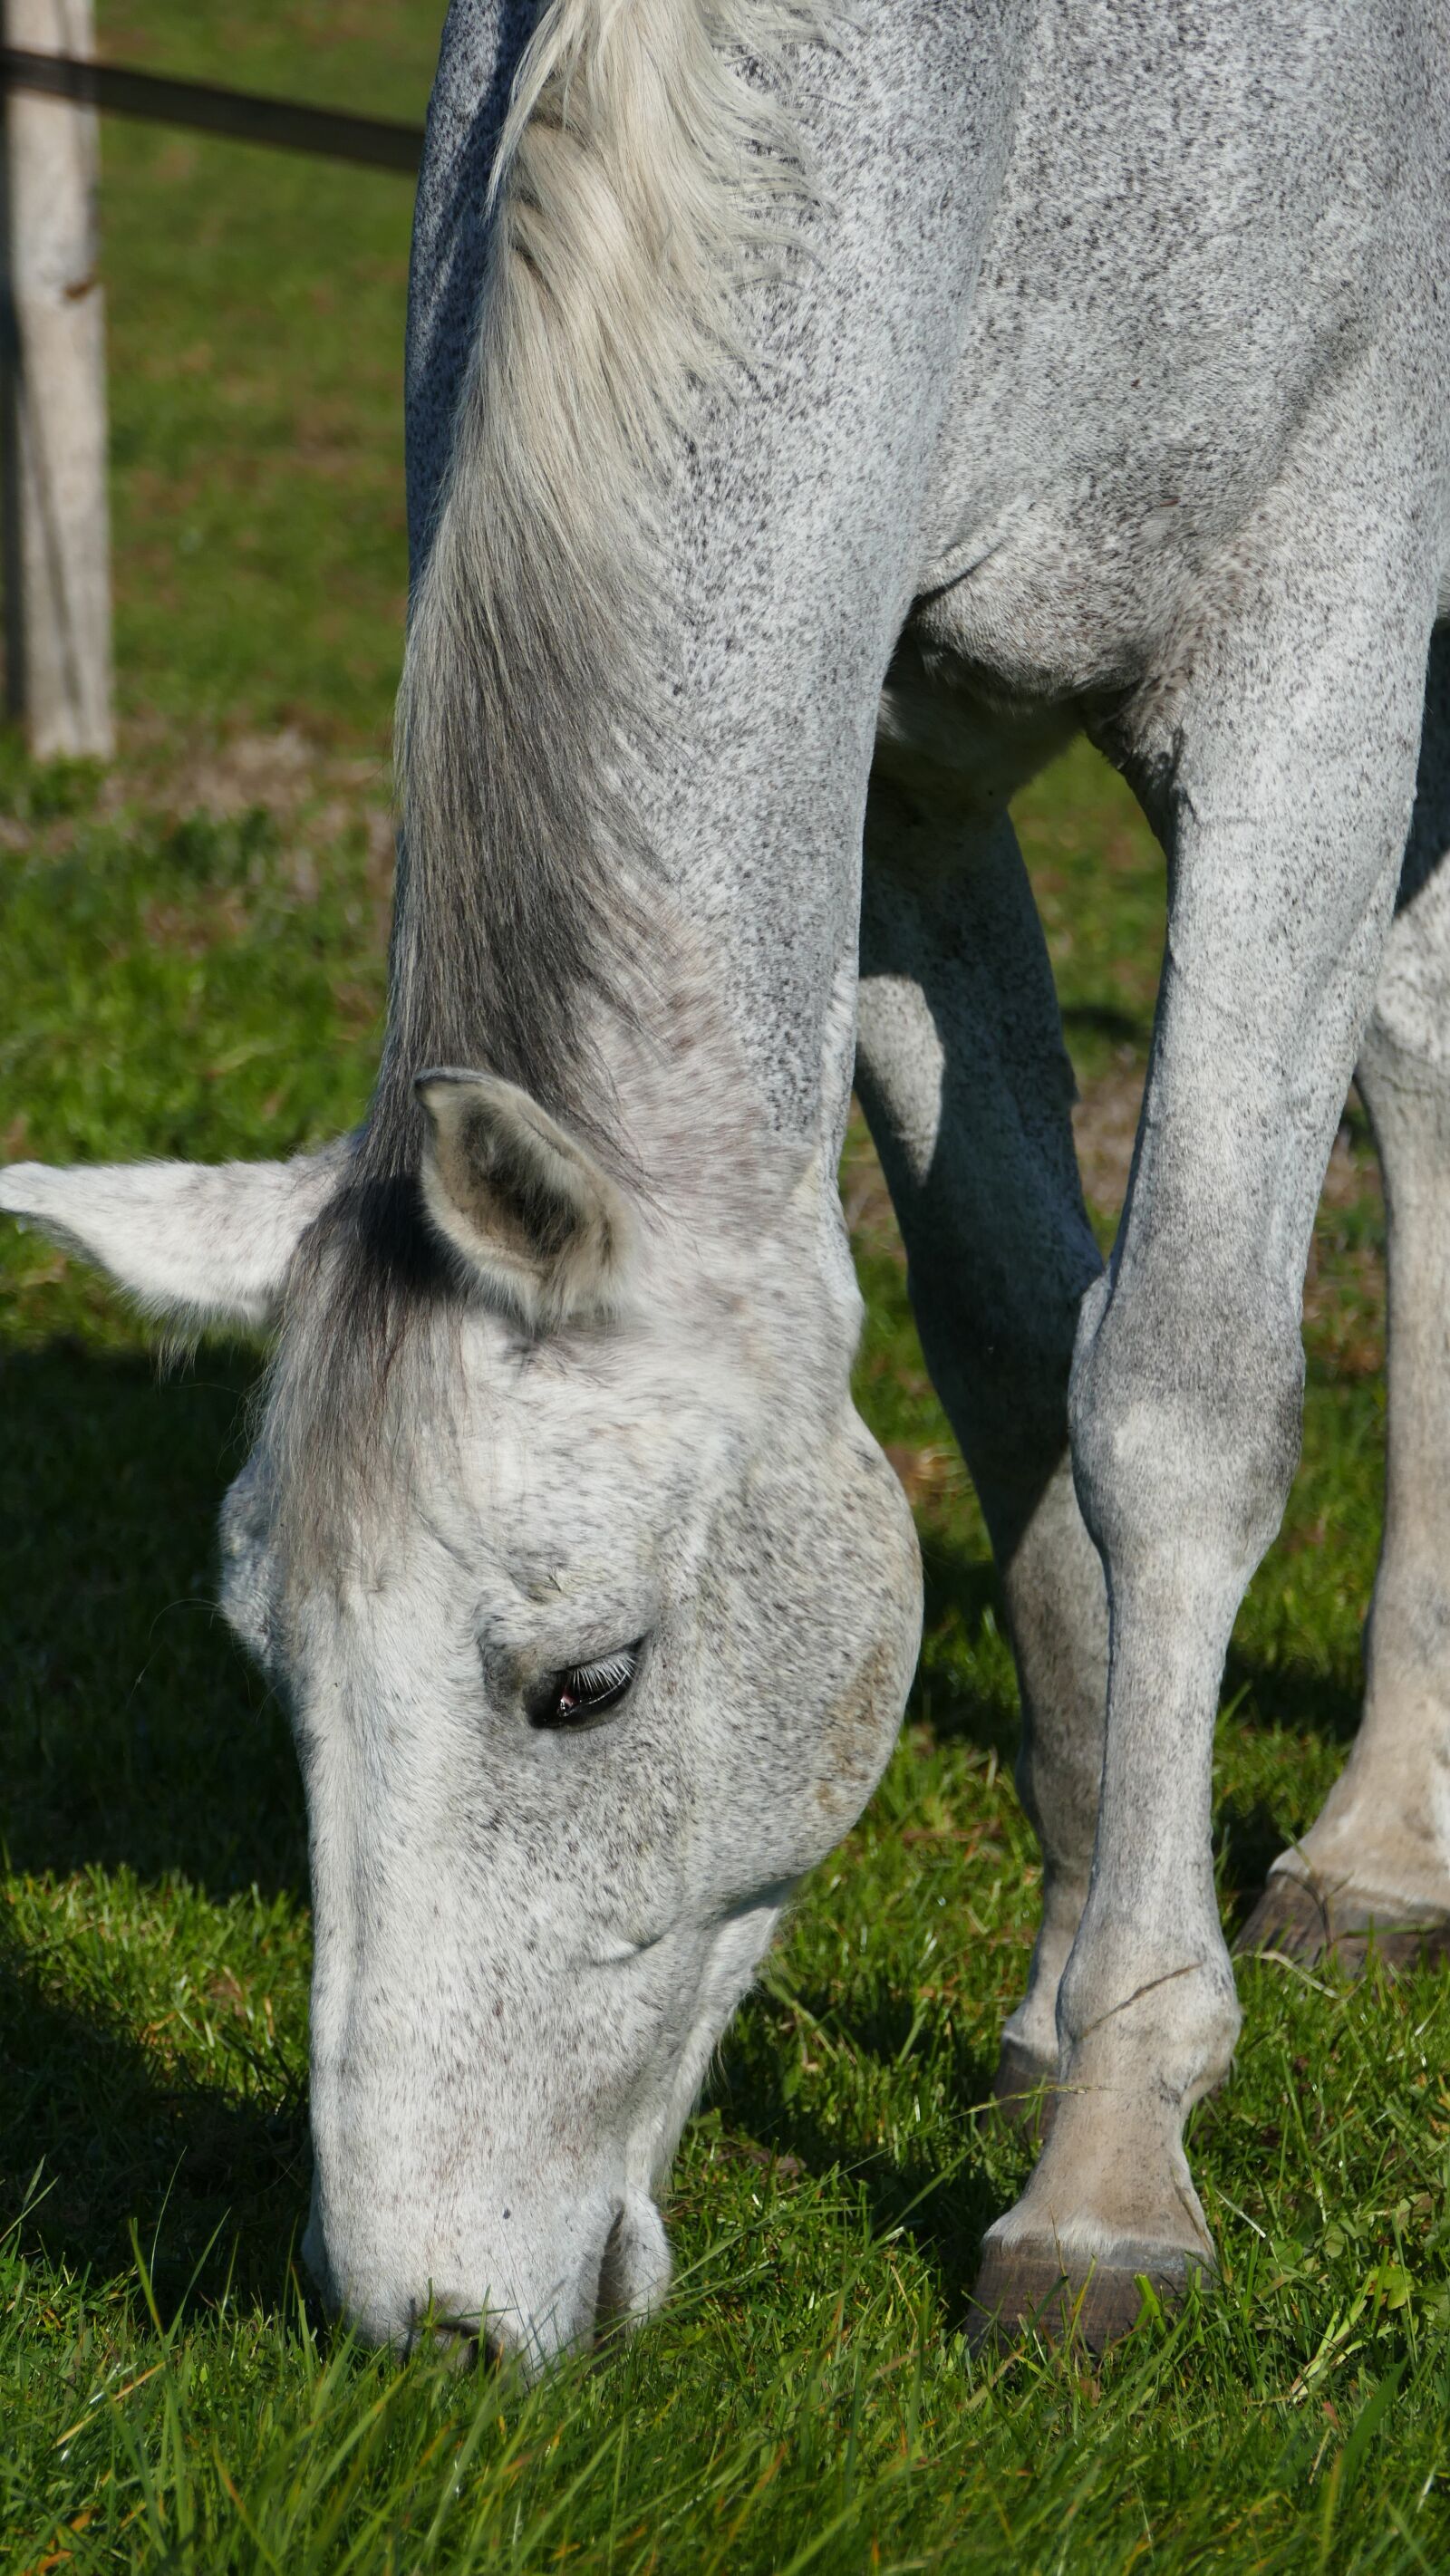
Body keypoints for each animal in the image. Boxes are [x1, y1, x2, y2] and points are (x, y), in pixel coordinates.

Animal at [3, 0, 1449, 2364]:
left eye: (584, 1682)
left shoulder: (1303, 678)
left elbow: (1171, 1399)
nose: (428, 2325)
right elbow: (1010, 1342)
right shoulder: (902, 759)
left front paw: (1108, 2175)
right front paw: (1057, 2009)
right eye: (271, 1664)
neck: (1039, 96)